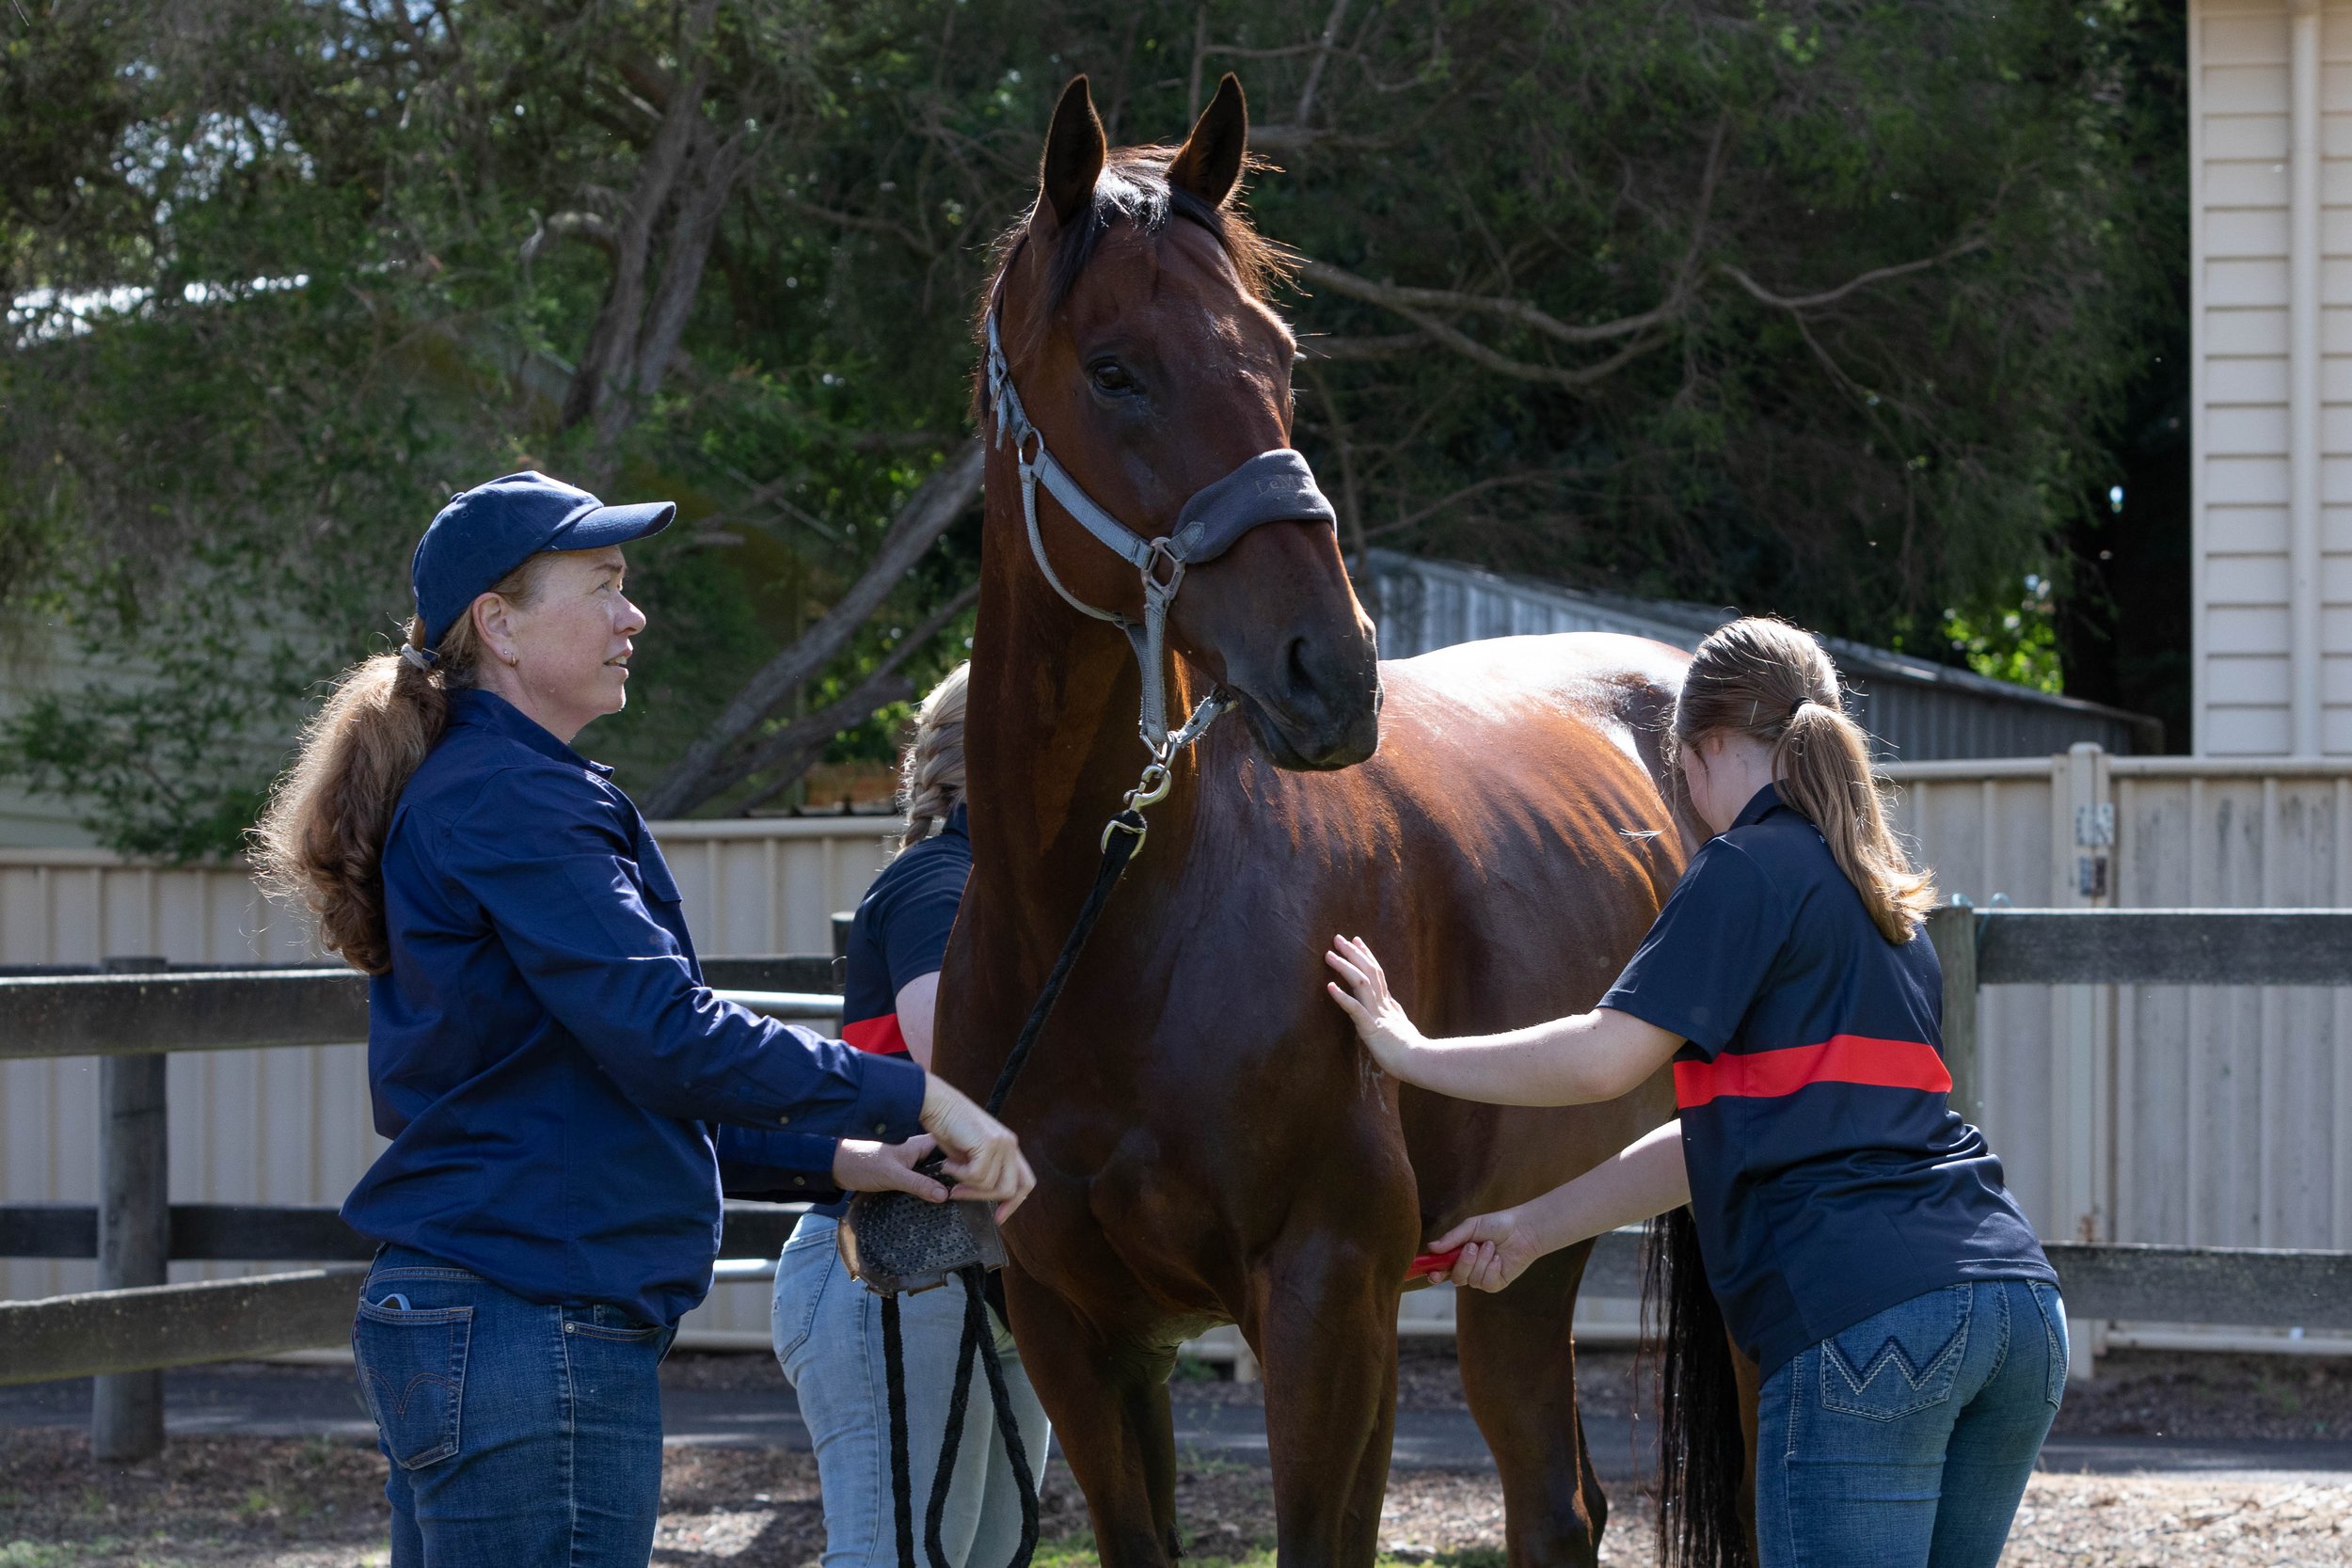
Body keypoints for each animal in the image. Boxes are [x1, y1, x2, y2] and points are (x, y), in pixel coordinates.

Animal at [933, 74, 1736, 1568]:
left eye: (1279, 352)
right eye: (1115, 369)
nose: (1332, 669)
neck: (1107, 923)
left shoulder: (1326, 1296)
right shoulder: (1078, 1327)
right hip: (1525, 1247)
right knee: (1560, 1504)